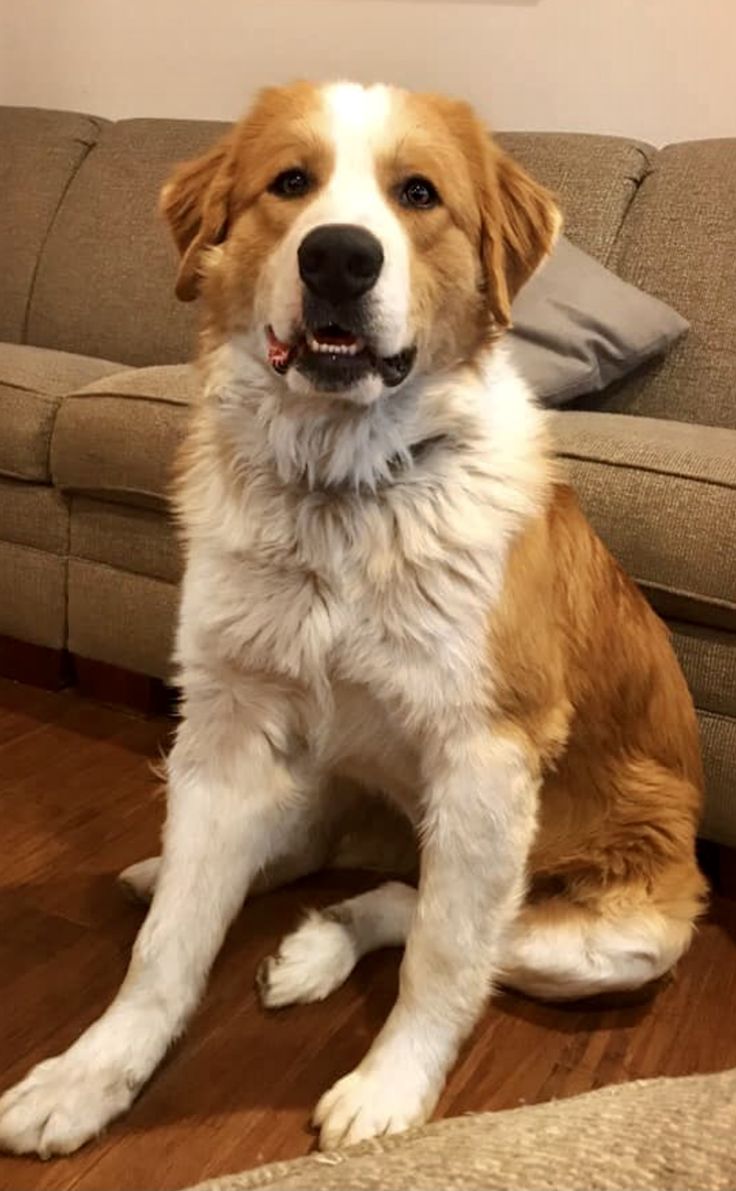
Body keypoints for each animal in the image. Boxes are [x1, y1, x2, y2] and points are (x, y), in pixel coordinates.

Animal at [0, 81, 700, 1152]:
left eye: (419, 194)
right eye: (291, 183)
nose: (338, 256)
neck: (344, 493)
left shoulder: (487, 760)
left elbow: (445, 957)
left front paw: (389, 1089)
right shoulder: (225, 721)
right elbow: (167, 947)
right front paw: (91, 1073)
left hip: (616, 939)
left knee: (435, 912)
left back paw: (323, 945)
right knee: (305, 860)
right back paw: (193, 879)